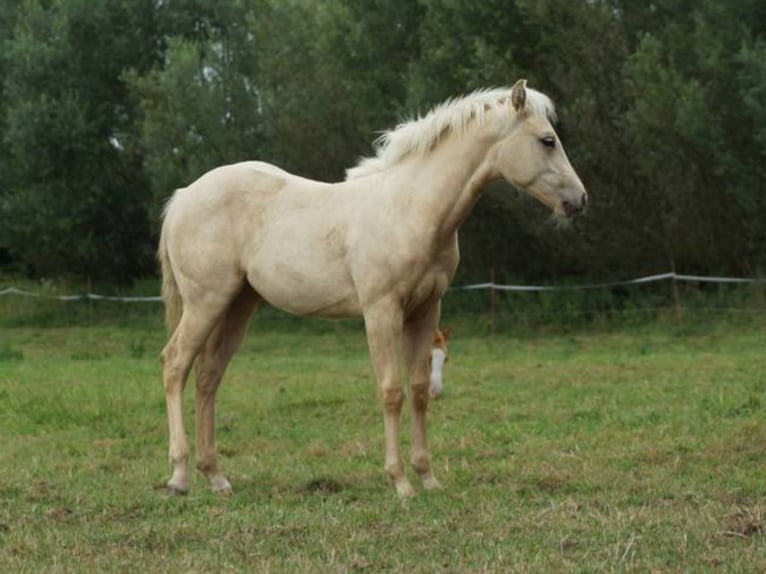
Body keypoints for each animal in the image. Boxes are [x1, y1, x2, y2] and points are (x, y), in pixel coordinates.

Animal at [158, 79, 587, 497]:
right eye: (547, 140)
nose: (579, 200)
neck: (411, 209)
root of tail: (183, 196)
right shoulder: (382, 310)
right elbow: (391, 391)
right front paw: (400, 482)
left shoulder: (426, 309)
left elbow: (418, 390)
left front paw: (427, 477)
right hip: (205, 302)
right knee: (175, 365)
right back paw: (179, 476)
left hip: (238, 304)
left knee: (208, 376)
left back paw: (216, 477)